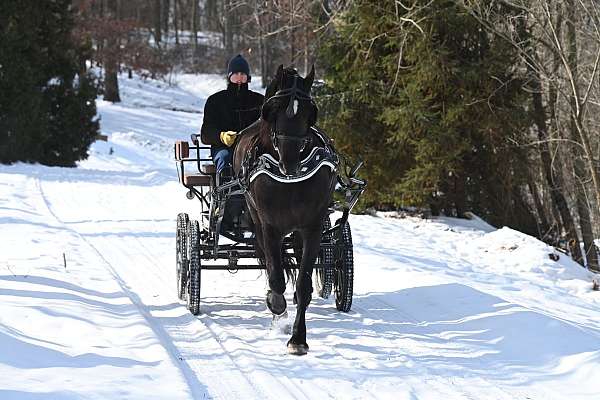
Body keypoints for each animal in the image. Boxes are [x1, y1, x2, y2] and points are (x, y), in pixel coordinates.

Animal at [233, 65, 338, 356]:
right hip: (257, 219)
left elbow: (303, 284)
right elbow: (276, 277)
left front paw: (298, 338)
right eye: (275, 109)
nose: (289, 161)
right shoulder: (270, 227)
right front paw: (277, 307)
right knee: (272, 265)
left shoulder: (312, 227)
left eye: (309, 111)